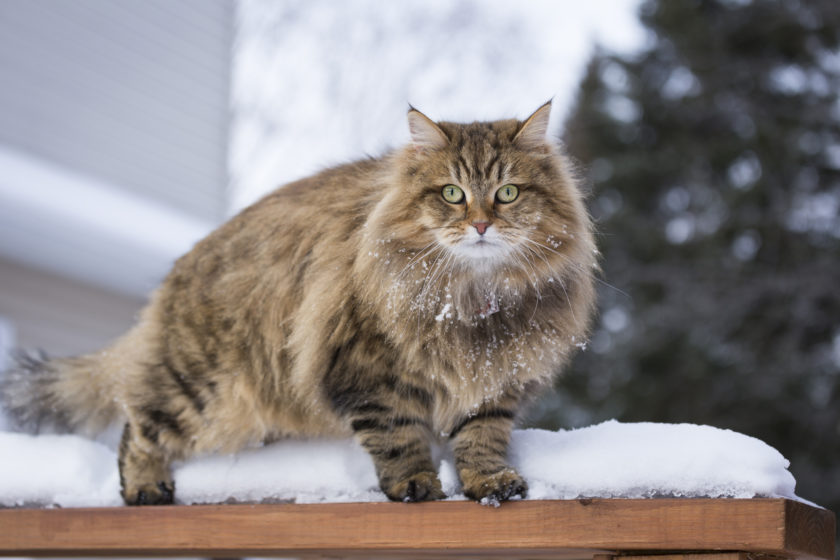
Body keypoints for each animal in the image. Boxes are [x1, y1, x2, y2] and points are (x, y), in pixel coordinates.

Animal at [0, 101, 596, 508]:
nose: (480, 224)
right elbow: (398, 437)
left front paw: (488, 482)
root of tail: (179, 270)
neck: (472, 300)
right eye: (452, 194)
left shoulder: (495, 379)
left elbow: (481, 437)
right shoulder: (366, 371)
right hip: (201, 388)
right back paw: (147, 487)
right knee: (137, 425)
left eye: (508, 193)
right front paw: (414, 483)